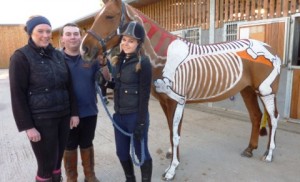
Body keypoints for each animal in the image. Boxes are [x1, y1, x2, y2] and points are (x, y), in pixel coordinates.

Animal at [79, 0, 282, 180]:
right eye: (95, 17)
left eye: (109, 16)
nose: (84, 49)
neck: (163, 57)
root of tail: (270, 49)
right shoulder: (165, 102)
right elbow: (171, 131)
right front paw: (172, 155)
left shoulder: (177, 101)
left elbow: (175, 134)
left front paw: (171, 170)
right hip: (247, 90)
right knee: (256, 116)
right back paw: (249, 149)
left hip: (266, 91)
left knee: (273, 118)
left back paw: (269, 154)